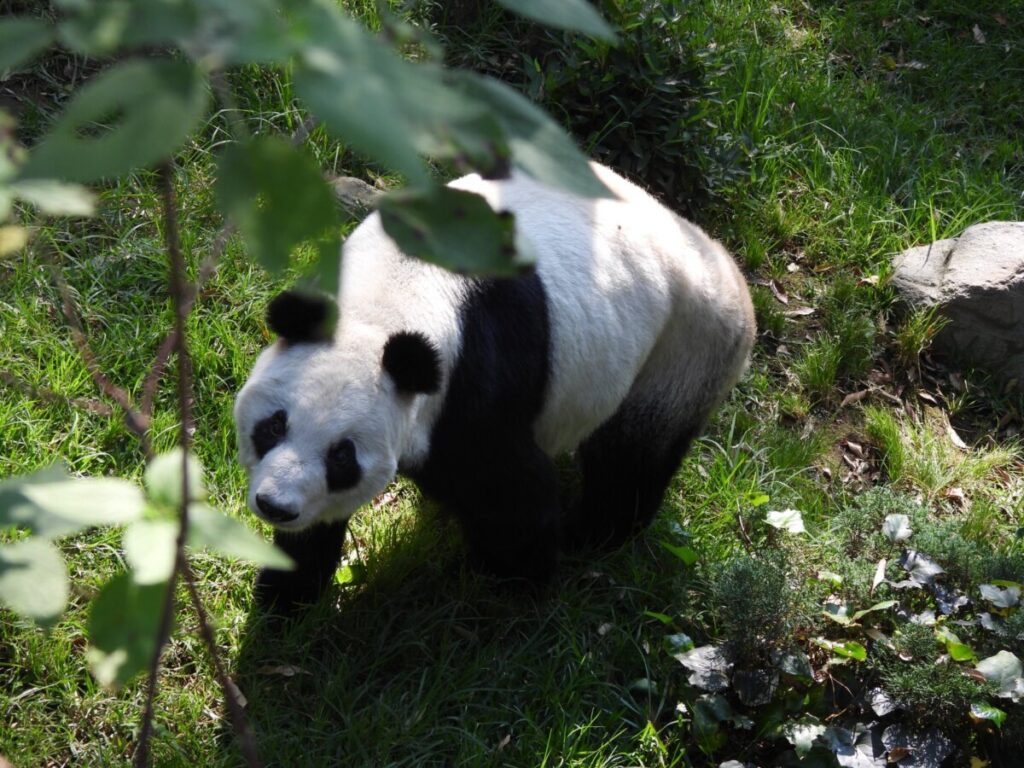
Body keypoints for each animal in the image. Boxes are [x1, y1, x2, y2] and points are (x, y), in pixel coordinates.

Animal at [234, 162, 755, 612]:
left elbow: (513, 496)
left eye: (342, 456)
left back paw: (590, 534)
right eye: (273, 426)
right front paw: (286, 593)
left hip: (688, 345)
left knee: (631, 455)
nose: (275, 506)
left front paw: (511, 586)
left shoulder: (474, 378)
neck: (385, 302)